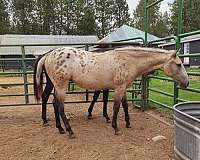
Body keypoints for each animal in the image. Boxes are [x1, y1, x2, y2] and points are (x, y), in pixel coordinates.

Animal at [33, 45, 189, 138]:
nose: (186, 83)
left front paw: (128, 123)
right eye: (179, 64)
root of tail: (48, 55)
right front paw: (115, 128)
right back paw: (69, 131)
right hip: (61, 85)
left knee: (53, 103)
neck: (128, 61)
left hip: (56, 85)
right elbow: (116, 107)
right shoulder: (119, 88)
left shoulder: (123, 88)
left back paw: (59, 128)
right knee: (59, 106)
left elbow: (124, 106)